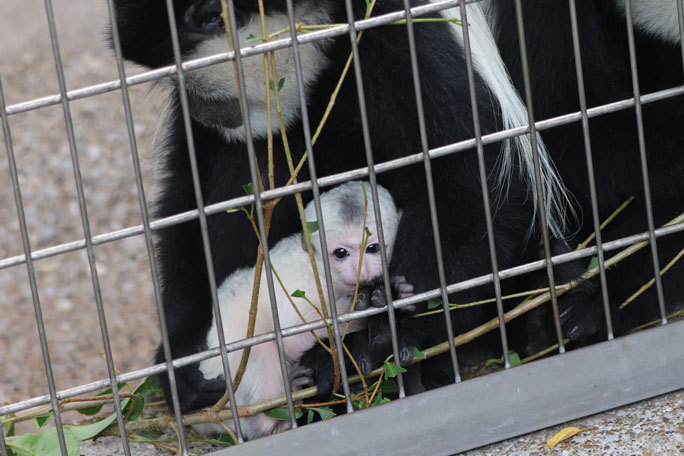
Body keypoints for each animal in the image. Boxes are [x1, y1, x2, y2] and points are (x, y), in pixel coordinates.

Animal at [198, 181, 412, 438]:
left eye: (372, 248)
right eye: (341, 253)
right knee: (260, 350)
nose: (362, 272)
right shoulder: (307, 285)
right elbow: (293, 338)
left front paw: (392, 303)